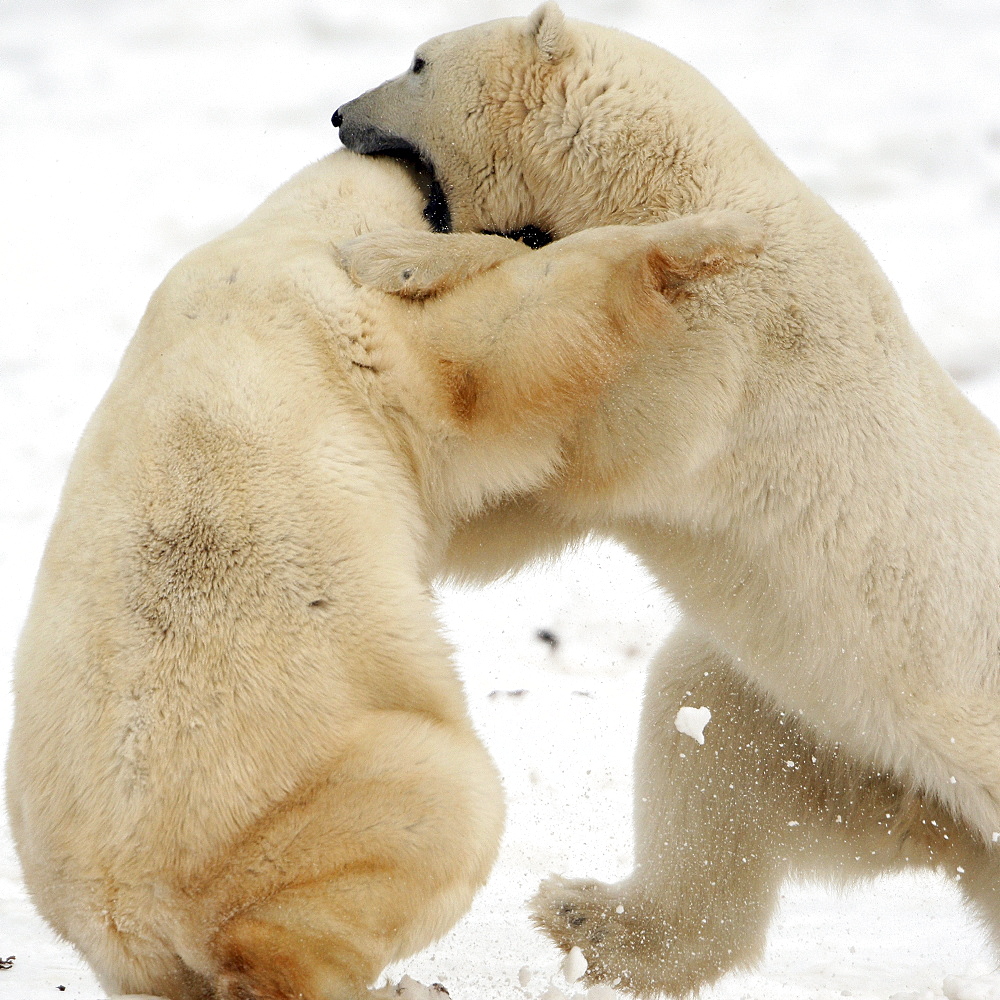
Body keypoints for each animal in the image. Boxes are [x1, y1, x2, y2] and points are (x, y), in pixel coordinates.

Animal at [1, 146, 764, 1000]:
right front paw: (713, 234)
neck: (282, 230)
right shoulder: (351, 330)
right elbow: (504, 345)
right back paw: (389, 980)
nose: (528, 224)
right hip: (310, 792)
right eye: (516, 217)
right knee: (431, 813)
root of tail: (128, 911)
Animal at [334, 5, 1000, 992]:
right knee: (703, 746)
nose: (340, 115)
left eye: (418, 61)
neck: (674, 184)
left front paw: (396, 257)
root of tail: (928, 822)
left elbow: (598, 417)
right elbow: (526, 501)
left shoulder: (734, 336)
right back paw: (588, 914)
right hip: (817, 726)